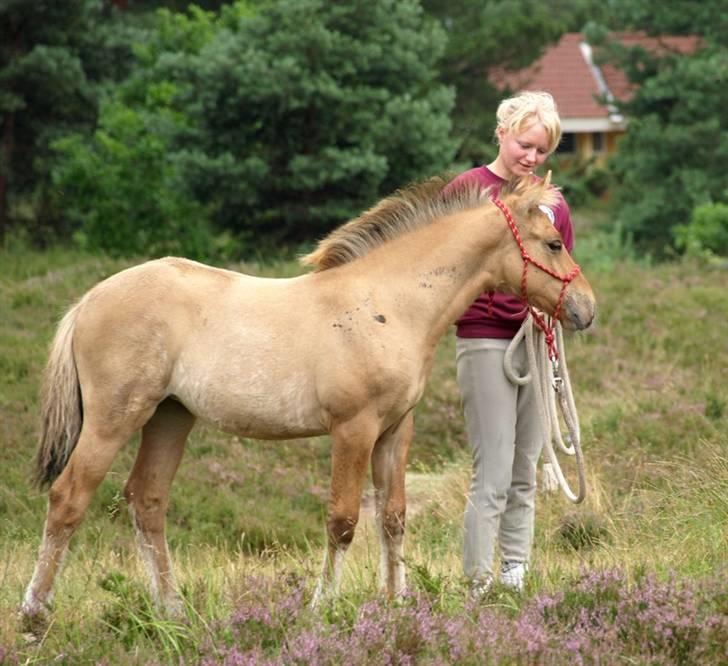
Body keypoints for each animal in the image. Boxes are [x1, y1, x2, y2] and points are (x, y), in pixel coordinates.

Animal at [22, 175, 596, 616]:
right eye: (552, 242)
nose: (586, 309)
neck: (387, 304)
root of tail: (89, 300)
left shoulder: (395, 430)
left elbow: (393, 517)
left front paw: (395, 604)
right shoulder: (354, 430)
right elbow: (343, 522)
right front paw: (323, 607)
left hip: (169, 417)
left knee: (147, 502)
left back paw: (173, 609)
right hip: (114, 419)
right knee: (69, 498)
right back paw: (35, 613)